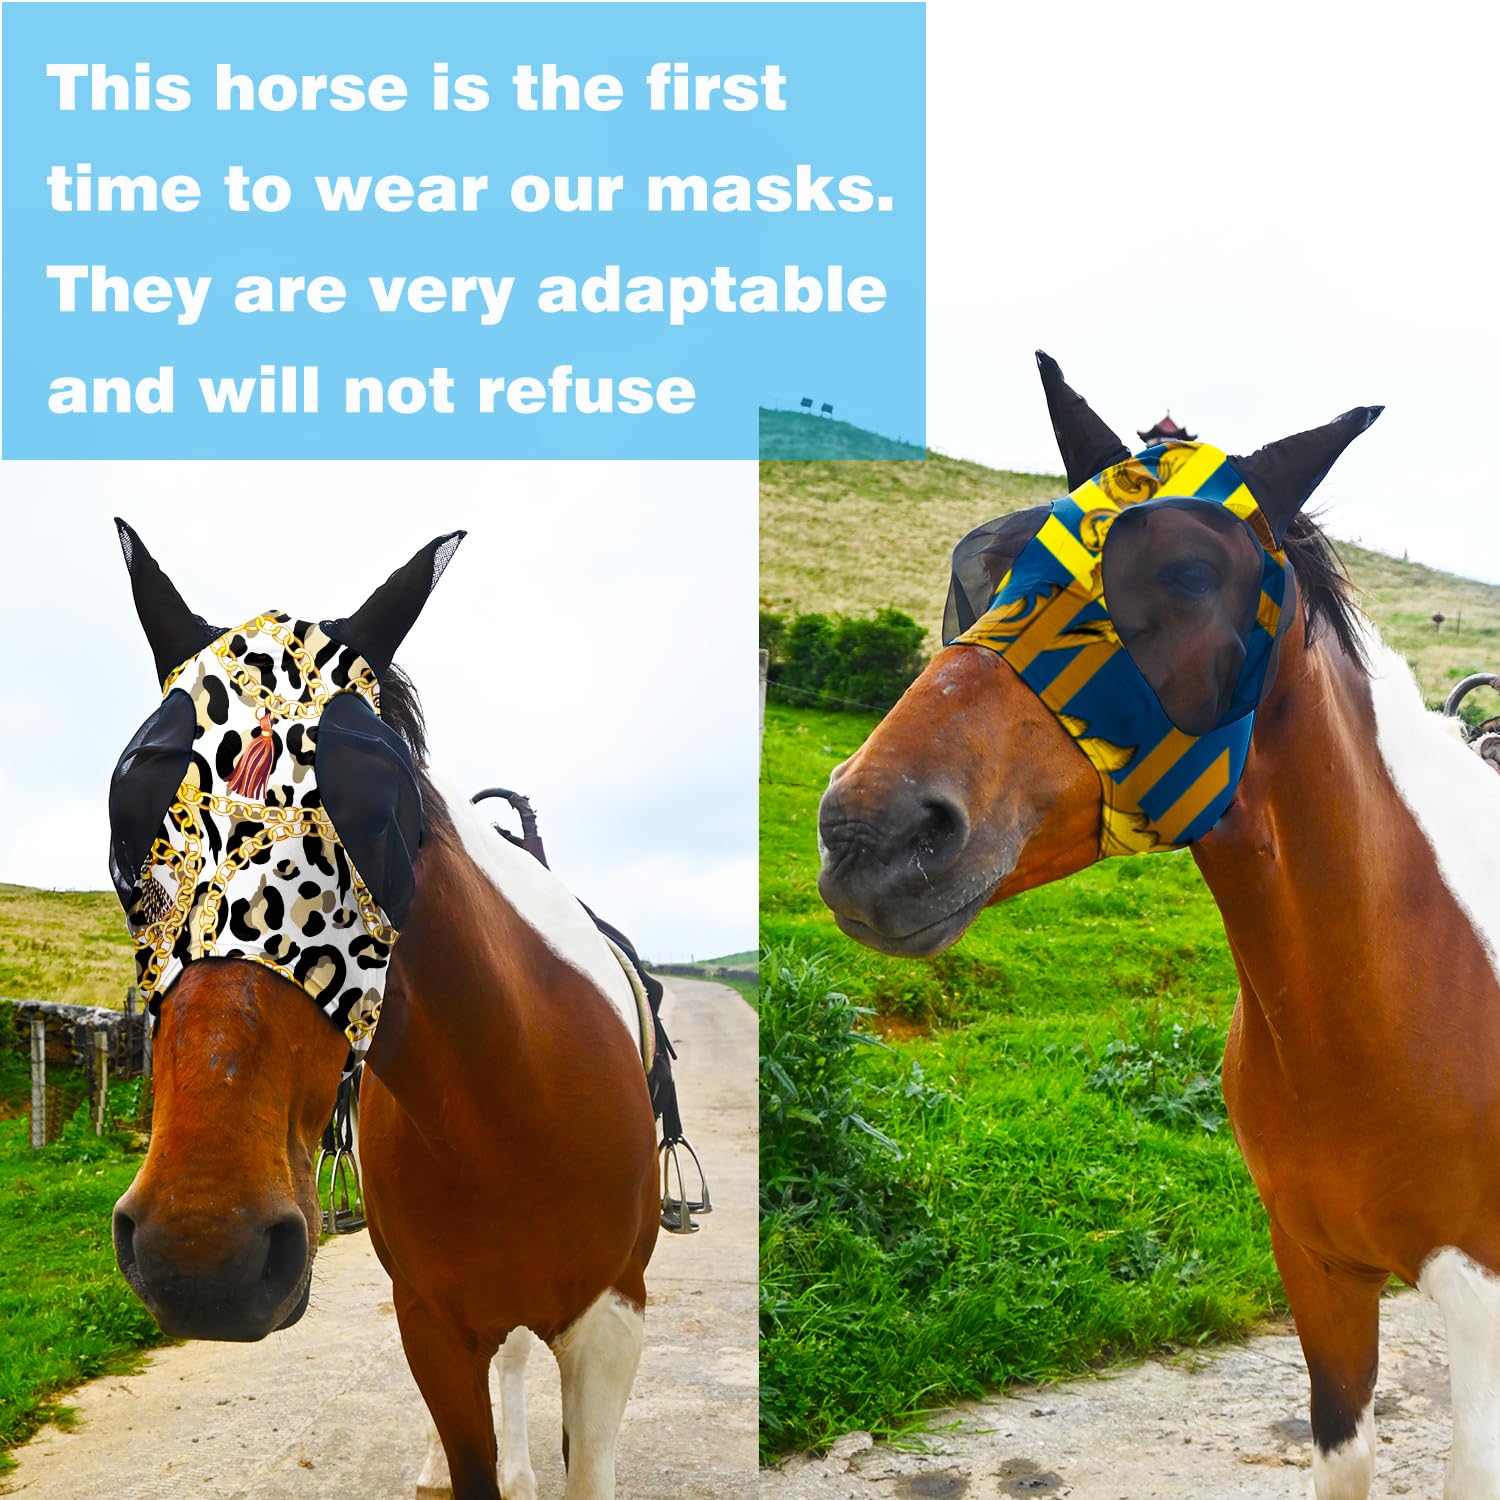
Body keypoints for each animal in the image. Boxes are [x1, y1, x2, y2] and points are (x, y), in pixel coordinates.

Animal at [106, 523, 661, 1500]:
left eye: (377, 813)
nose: (202, 1252)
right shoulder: (431, 1326)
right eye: (128, 813)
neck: (507, 1108)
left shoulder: (609, 1325)